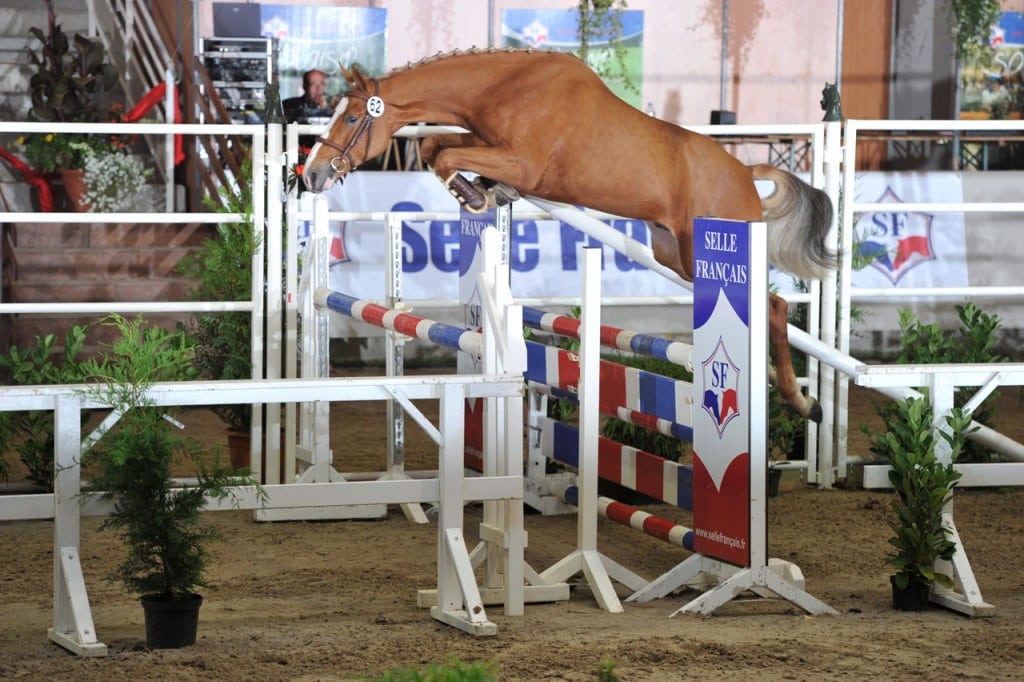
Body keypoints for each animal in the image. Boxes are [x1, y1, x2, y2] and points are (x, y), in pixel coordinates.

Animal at [301, 49, 831, 419]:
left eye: (352, 117)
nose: (312, 174)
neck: (505, 88)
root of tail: (745, 173)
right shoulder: (485, 142)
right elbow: (434, 145)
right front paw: (484, 192)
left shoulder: (523, 162)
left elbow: (446, 153)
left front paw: (478, 195)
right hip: (676, 256)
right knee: (770, 307)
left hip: (707, 250)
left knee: (773, 306)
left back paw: (803, 403)